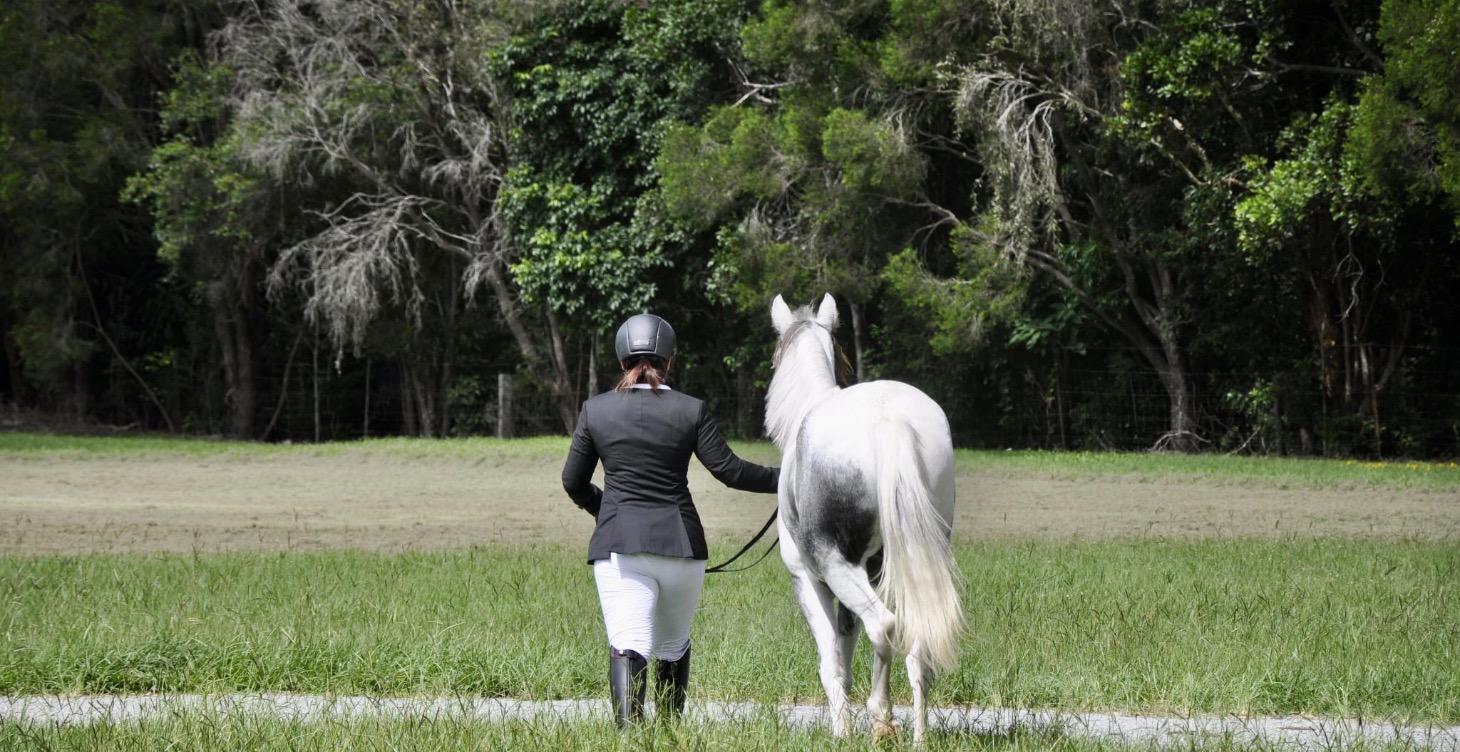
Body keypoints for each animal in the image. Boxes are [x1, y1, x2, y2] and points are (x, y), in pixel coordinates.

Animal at [766, 293, 963, 744]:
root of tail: (888, 419)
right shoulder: (868, 574)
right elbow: (847, 639)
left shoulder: (809, 579)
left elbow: (833, 662)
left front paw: (840, 732)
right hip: (914, 563)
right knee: (917, 644)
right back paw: (918, 737)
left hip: (838, 567)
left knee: (884, 626)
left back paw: (883, 718)